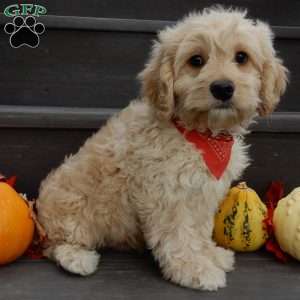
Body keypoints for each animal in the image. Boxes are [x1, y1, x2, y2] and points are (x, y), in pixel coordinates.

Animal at [37, 7, 288, 290]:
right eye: (196, 60)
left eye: (242, 57)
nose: (223, 88)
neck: (201, 134)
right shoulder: (167, 194)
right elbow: (179, 235)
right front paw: (195, 269)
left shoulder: (203, 193)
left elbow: (198, 229)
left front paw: (210, 254)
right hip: (72, 210)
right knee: (55, 245)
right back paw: (77, 259)